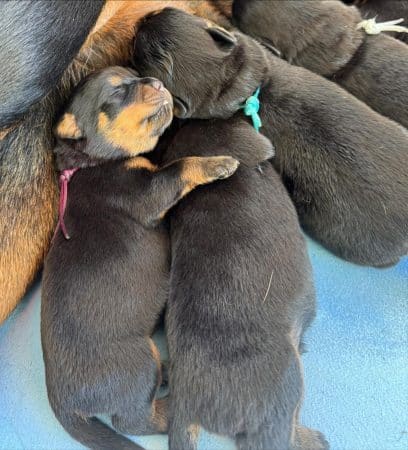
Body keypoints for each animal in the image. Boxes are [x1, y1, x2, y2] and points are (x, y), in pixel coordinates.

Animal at [40, 66, 239, 450]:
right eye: (117, 92)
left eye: (135, 75)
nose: (159, 83)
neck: (92, 163)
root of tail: (61, 402)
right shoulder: (145, 192)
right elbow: (181, 166)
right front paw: (218, 163)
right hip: (138, 363)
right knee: (134, 419)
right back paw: (174, 407)